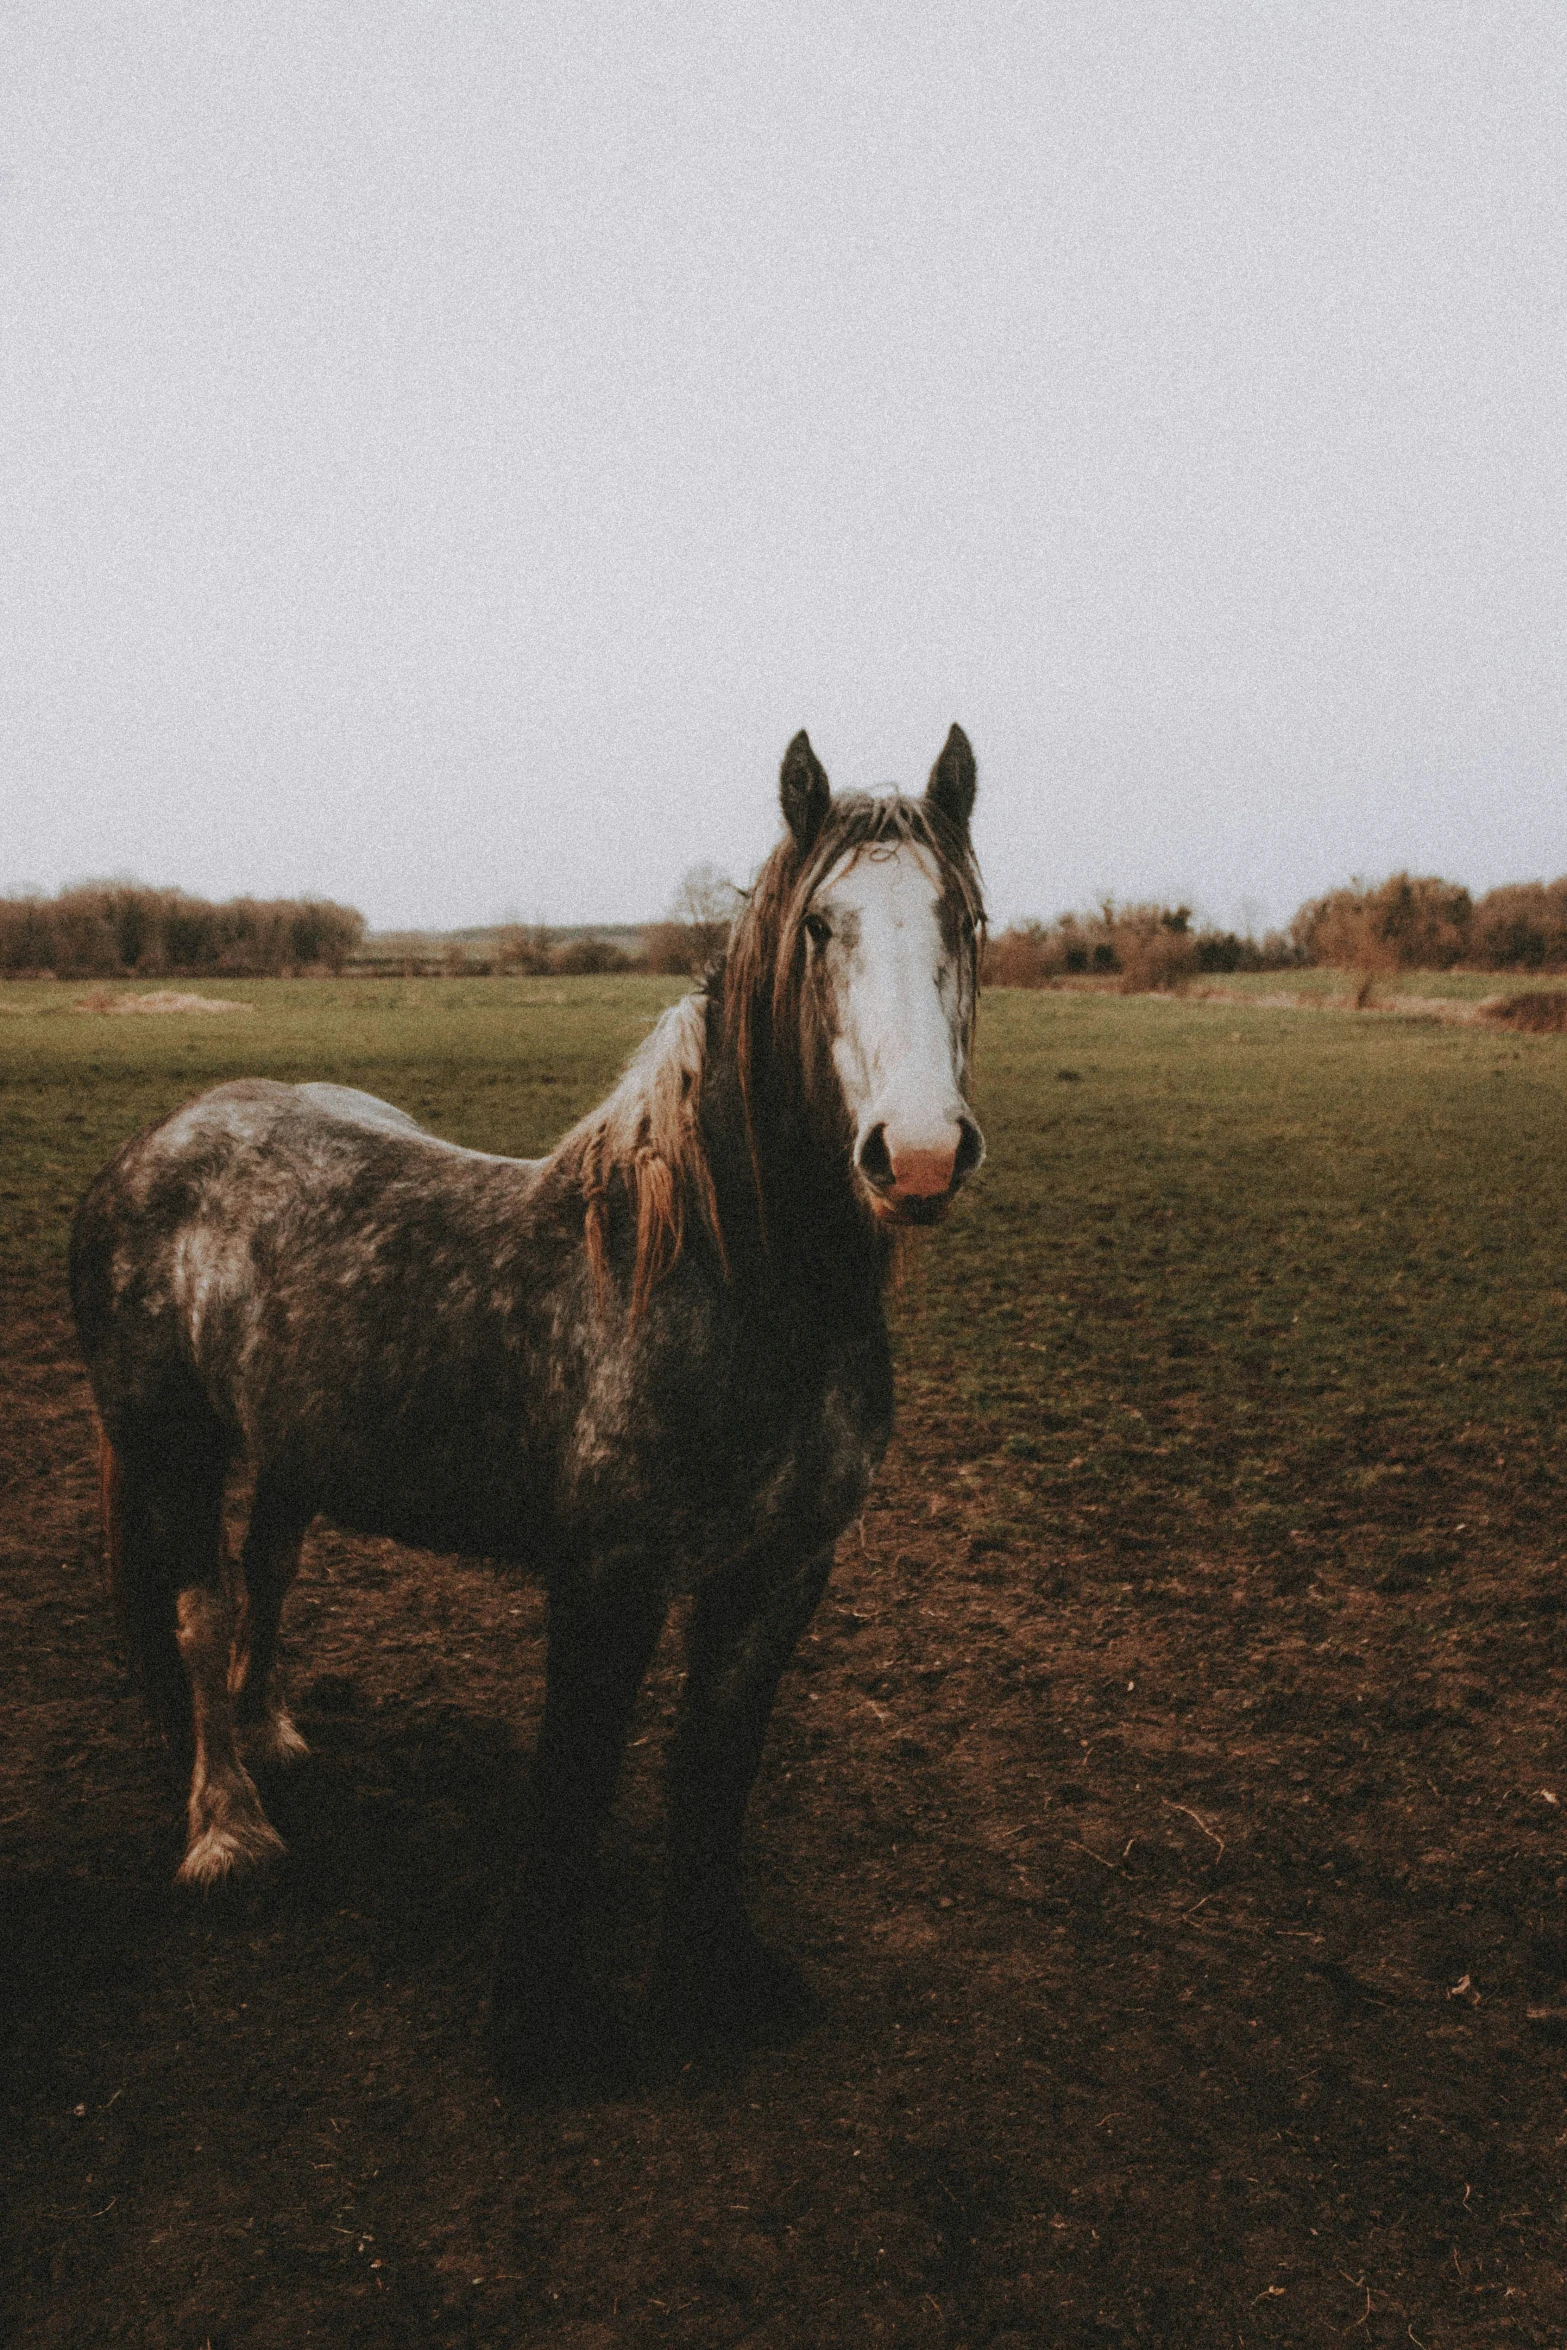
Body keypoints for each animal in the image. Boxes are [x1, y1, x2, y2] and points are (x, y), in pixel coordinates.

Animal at [73, 723, 986, 2086]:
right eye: (819, 926)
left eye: (964, 918)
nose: (917, 1153)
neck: (728, 1279)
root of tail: (154, 1143)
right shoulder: (606, 1575)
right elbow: (580, 1771)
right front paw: (543, 2021)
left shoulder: (780, 1573)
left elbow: (715, 1766)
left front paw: (715, 1974)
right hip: (169, 1447)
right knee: (197, 1610)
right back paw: (228, 1832)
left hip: (294, 1448)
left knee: (267, 1575)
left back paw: (270, 1730)